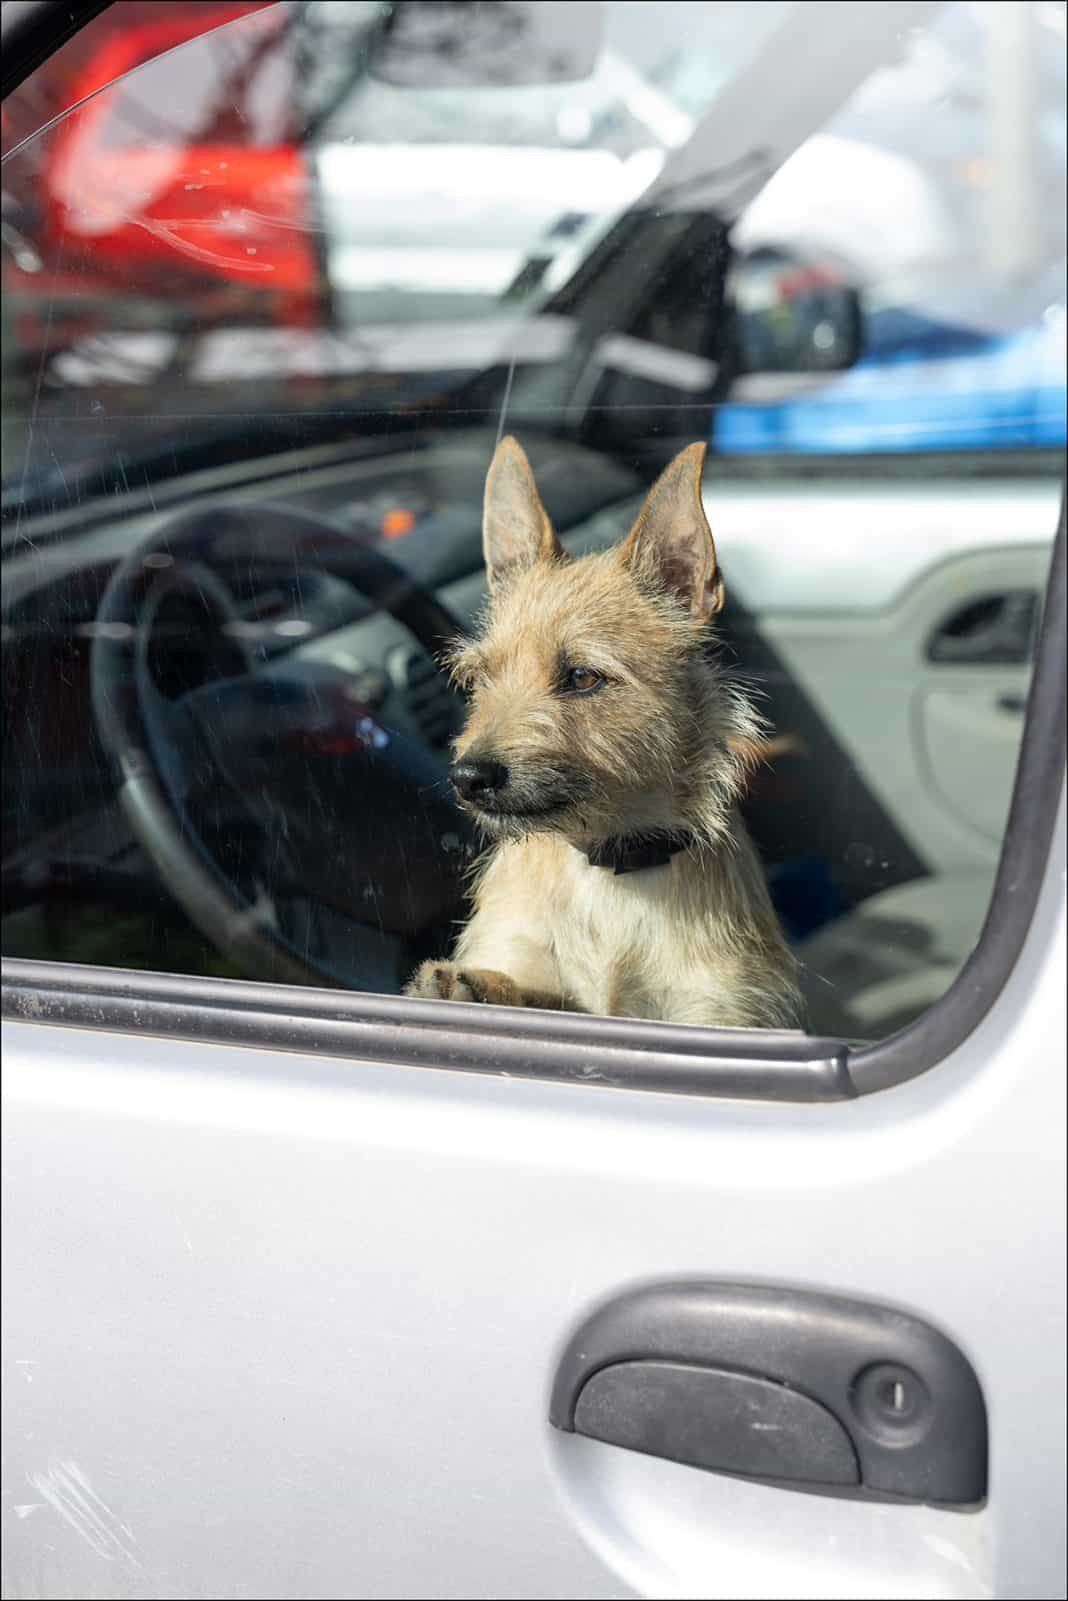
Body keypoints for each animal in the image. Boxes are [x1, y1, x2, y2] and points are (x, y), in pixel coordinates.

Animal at [406, 432, 800, 1024]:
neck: (609, 872)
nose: (468, 777)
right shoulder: (521, 953)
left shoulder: (716, 1011)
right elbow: (529, 988)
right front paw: (471, 987)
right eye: (480, 677)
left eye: (583, 678)